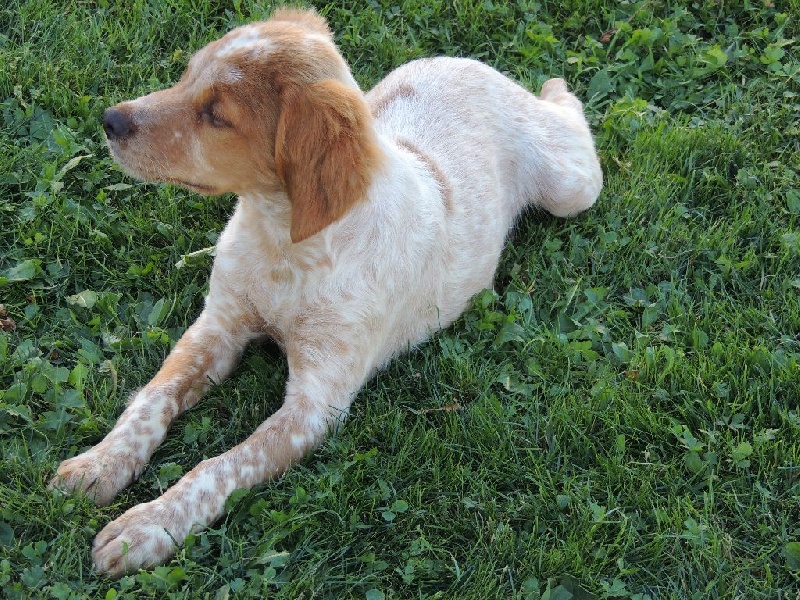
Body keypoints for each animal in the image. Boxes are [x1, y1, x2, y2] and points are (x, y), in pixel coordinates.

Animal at [50, 8, 602, 577]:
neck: (284, 245)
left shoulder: (315, 407)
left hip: (573, 186)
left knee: (571, 116)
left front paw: (146, 528)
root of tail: (471, 65)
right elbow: (152, 398)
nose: (110, 120)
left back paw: (556, 85)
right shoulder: (217, 325)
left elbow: (218, 467)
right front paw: (100, 464)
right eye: (186, 75)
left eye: (217, 116)